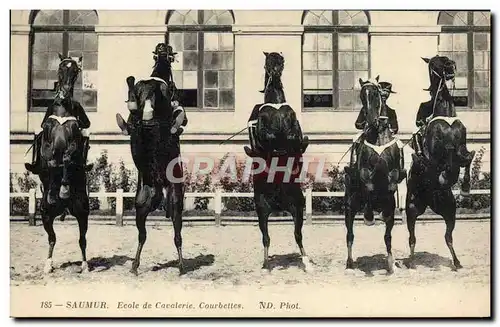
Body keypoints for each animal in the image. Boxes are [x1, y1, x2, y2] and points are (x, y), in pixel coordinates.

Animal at [244, 52, 310, 272]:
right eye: (268, 63)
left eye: (281, 62)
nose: (275, 75)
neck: (276, 105)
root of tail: (279, 205)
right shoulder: (265, 131)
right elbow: (268, 136)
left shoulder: (292, 128)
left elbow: (293, 137)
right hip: (262, 208)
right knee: (266, 237)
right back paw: (266, 264)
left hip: (297, 206)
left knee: (298, 235)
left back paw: (307, 262)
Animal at [344, 78, 402, 276]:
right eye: (362, 96)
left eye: (377, 94)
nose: (370, 120)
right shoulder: (364, 172)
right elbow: (368, 186)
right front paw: (369, 216)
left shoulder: (393, 172)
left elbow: (392, 184)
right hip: (350, 209)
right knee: (350, 235)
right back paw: (349, 264)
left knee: (388, 236)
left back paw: (391, 264)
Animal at [404, 55, 474, 272]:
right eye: (436, 62)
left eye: (448, 59)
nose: (451, 68)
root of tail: (429, 203)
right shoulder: (434, 153)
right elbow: (439, 161)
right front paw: (443, 174)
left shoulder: (461, 145)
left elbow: (467, 157)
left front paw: (465, 186)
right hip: (412, 210)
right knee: (412, 238)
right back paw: (411, 262)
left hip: (450, 212)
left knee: (448, 237)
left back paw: (457, 262)